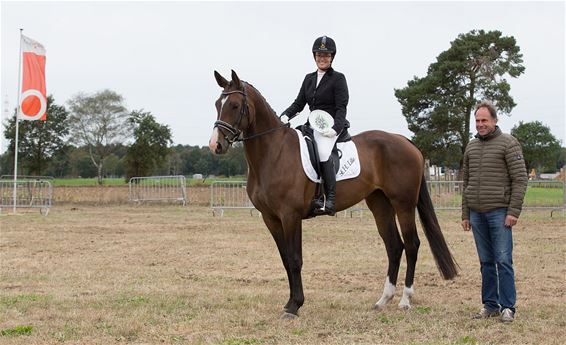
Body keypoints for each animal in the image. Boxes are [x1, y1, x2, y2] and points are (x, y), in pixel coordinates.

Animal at [211, 69, 460, 318]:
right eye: (217, 104)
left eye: (234, 105)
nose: (216, 145)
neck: (273, 153)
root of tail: (405, 141)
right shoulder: (270, 218)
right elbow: (285, 259)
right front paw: (290, 302)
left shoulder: (290, 216)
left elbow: (295, 259)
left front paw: (295, 305)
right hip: (380, 204)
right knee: (394, 246)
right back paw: (383, 299)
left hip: (403, 204)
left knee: (411, 244)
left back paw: (405, 300)